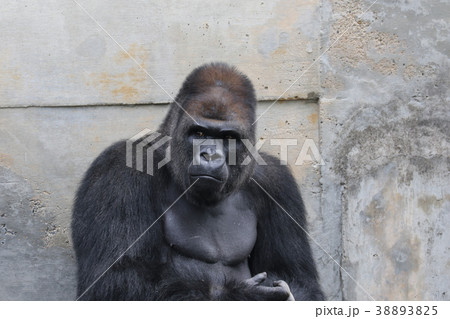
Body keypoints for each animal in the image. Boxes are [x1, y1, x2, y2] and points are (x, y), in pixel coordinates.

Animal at [72, 62, 324, 302]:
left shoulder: (277, 183)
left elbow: (297, 278)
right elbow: (116, 279)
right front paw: (244, 295)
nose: (210, 155)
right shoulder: (120, 169)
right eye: (199, 133)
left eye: (229, 137)